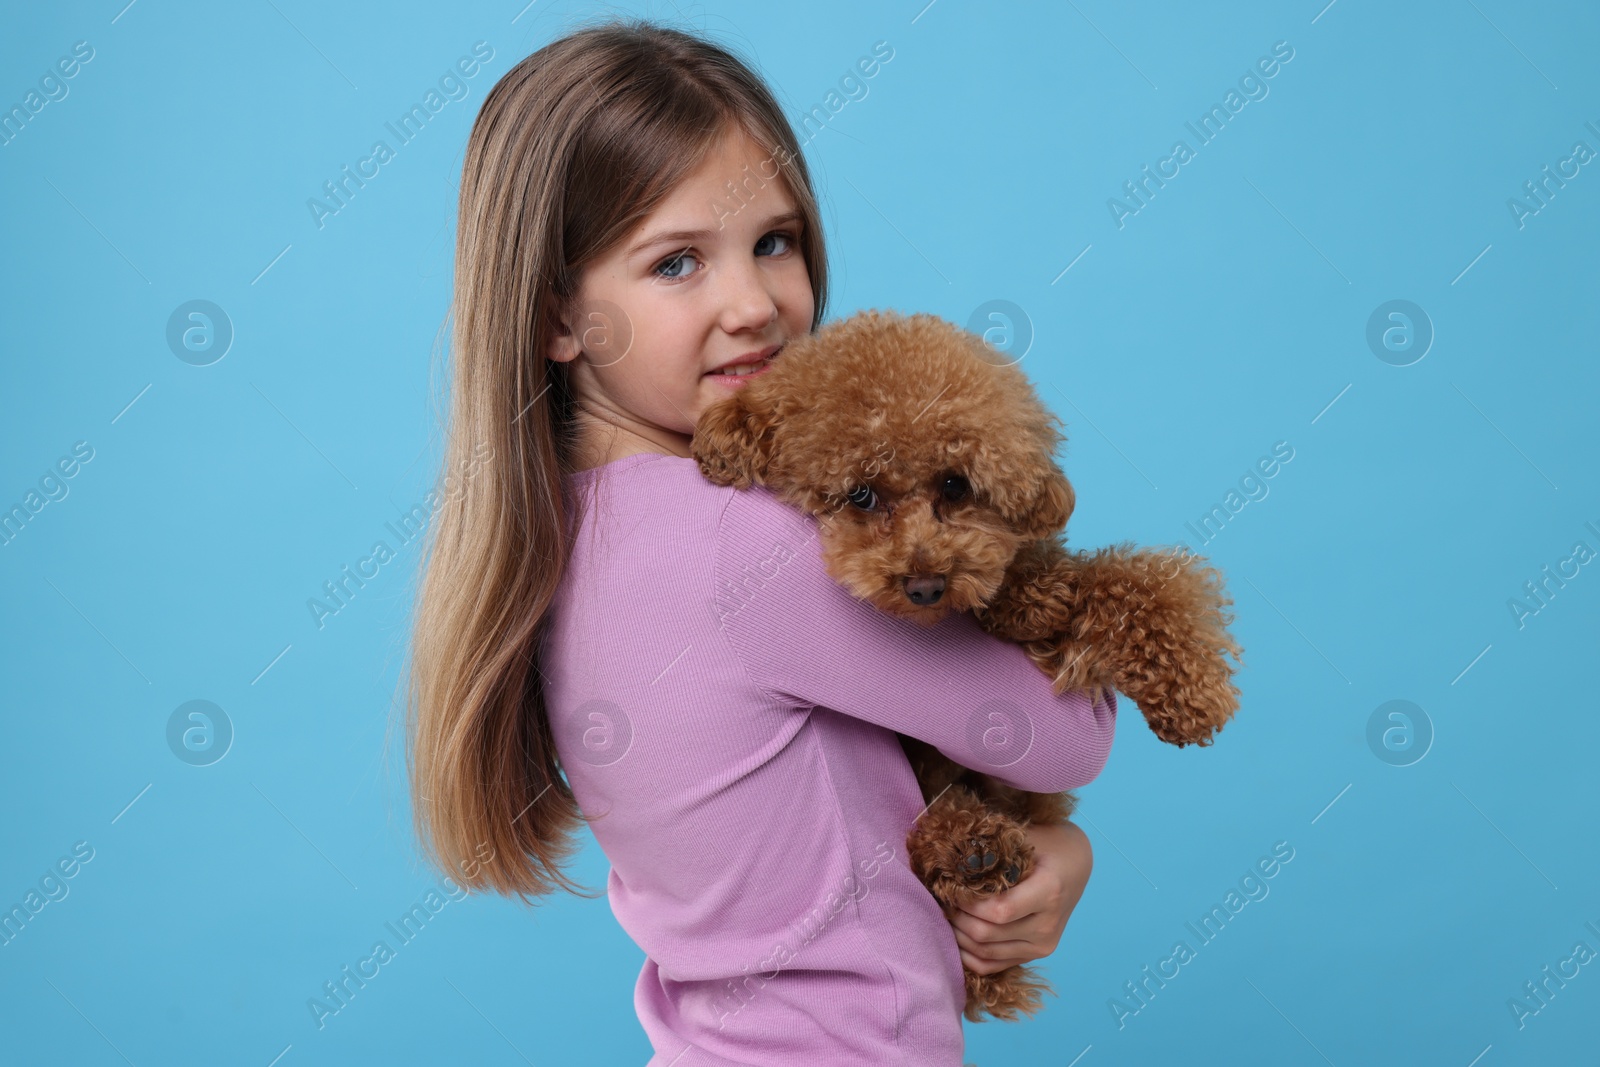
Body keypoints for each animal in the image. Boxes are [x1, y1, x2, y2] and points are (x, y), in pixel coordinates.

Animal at [694, 308, 1241, 1023]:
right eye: (860, 495)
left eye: (955, 484)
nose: (925, 585)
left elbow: (1133, 582)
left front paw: (1190, 690)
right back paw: (970, 851)